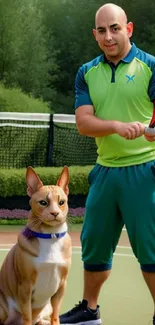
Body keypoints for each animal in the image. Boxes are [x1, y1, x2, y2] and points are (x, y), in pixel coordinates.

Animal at [0, 166, 71, 322]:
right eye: (43, 202)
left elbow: (55, 317)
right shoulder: (25, 287)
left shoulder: (61, 287)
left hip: (47, 308)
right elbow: (27, 317)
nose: (55, 213)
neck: (50, 236)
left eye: (61, 202)